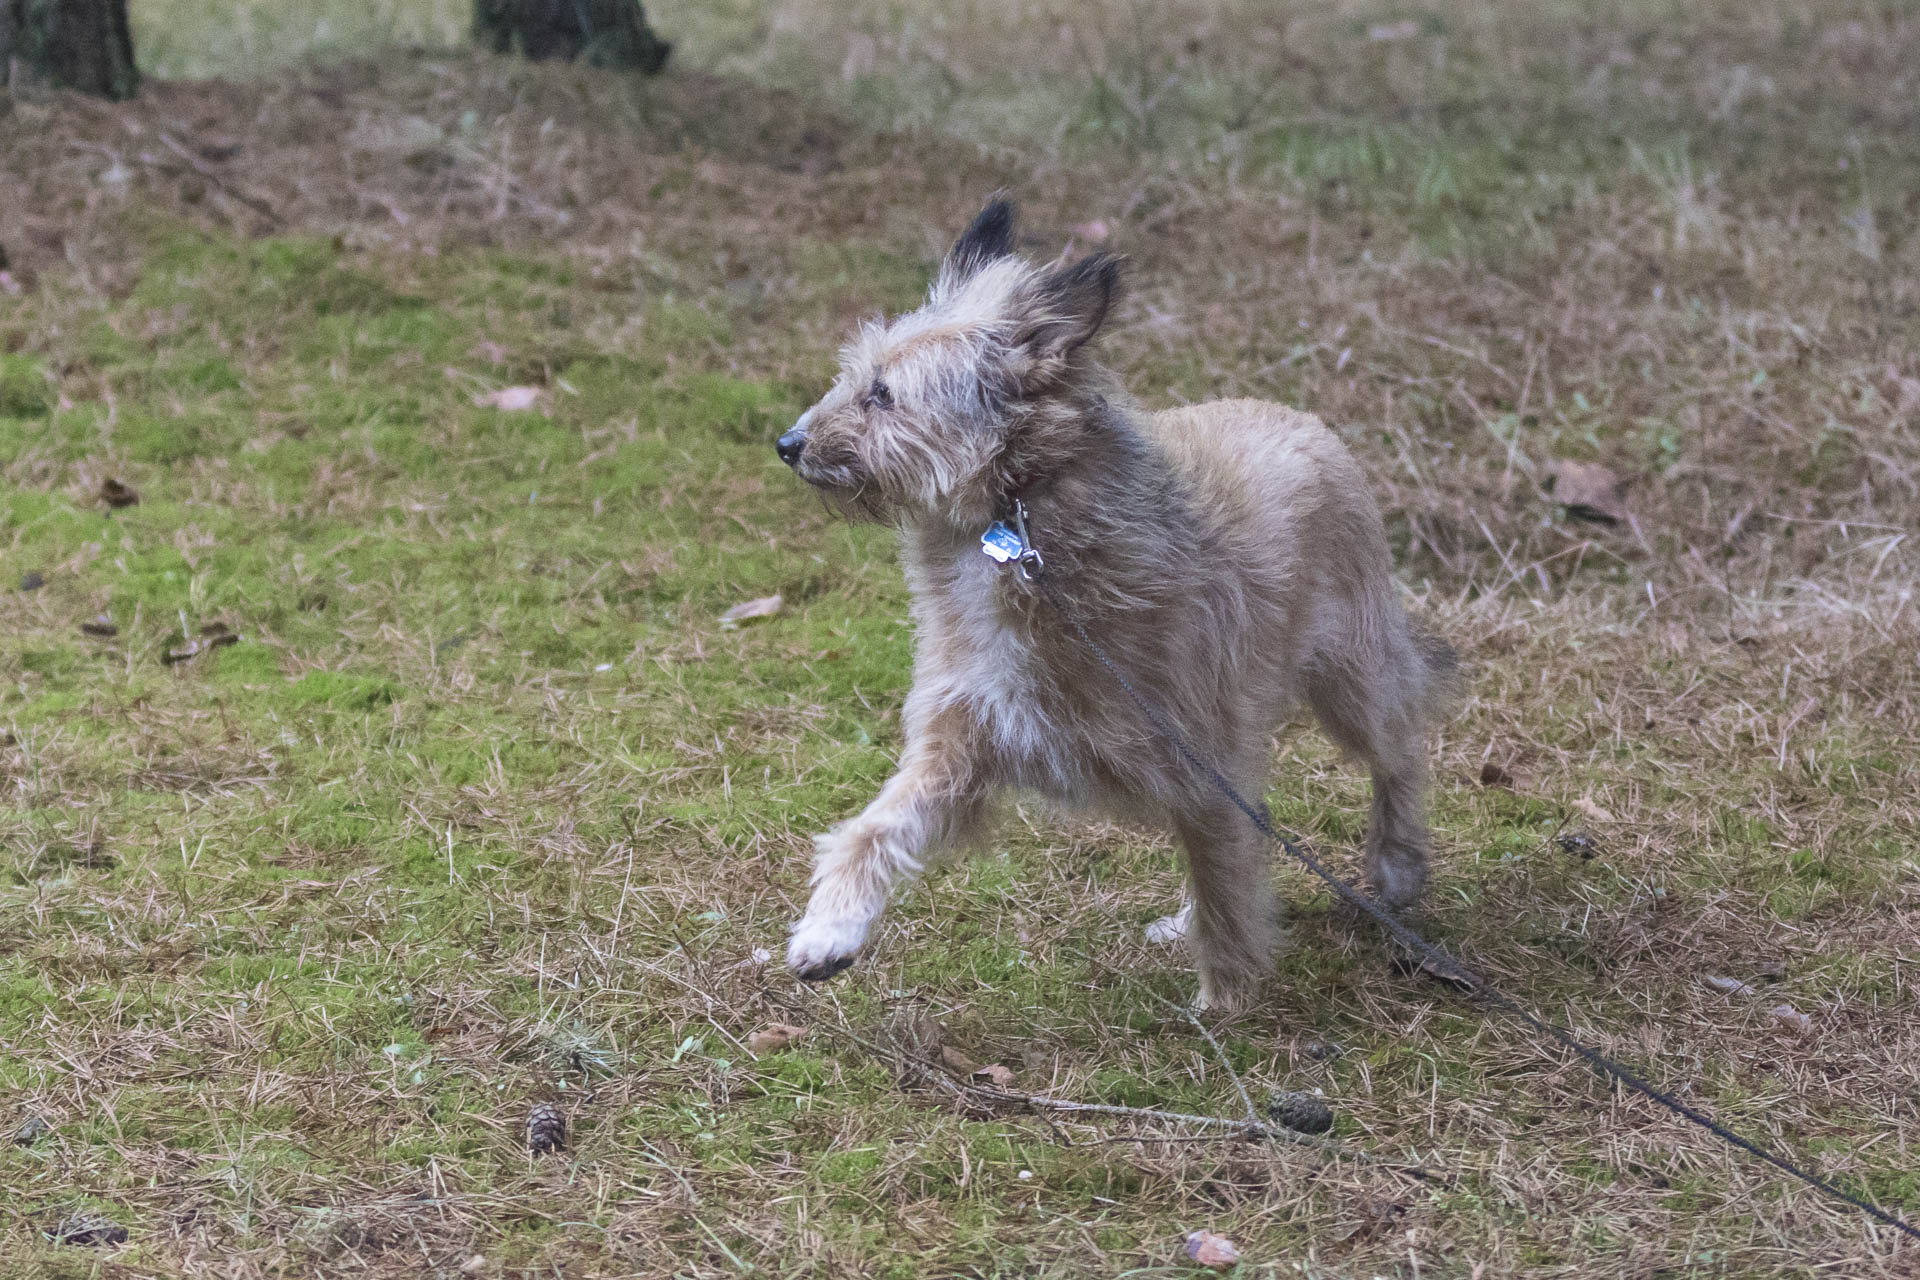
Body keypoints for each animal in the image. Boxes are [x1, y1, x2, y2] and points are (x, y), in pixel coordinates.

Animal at [775, 199, 1454, 1010]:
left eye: (883, 394)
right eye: (854, 376)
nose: (786, 443)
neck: (1014, 526)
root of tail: (1298, 417)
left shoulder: (1201, 758)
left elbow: (1226, 890)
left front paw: (1226, 1009)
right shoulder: (959, 747)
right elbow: (872, 831)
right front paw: (831, 927)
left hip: (1354, 682)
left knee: (1400, 750)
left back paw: (1397, 865)